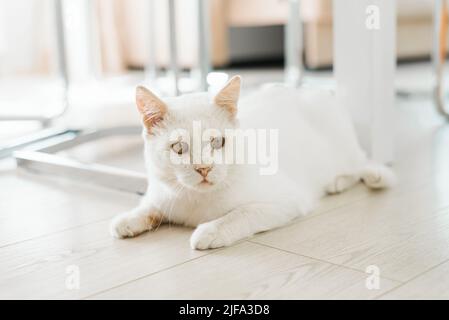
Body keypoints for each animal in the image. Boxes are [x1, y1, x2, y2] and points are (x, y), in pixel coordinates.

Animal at [109, 75, 396, 250]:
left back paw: (349, 180)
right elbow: (149, 207)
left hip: (342, 149)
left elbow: (240, 214)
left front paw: (209, 231)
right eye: (179, 148)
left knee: (361, 164)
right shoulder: (162, 194)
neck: (197, 202)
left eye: (217, 143)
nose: (204, 168)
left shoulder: (286, 201)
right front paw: (128, 219)